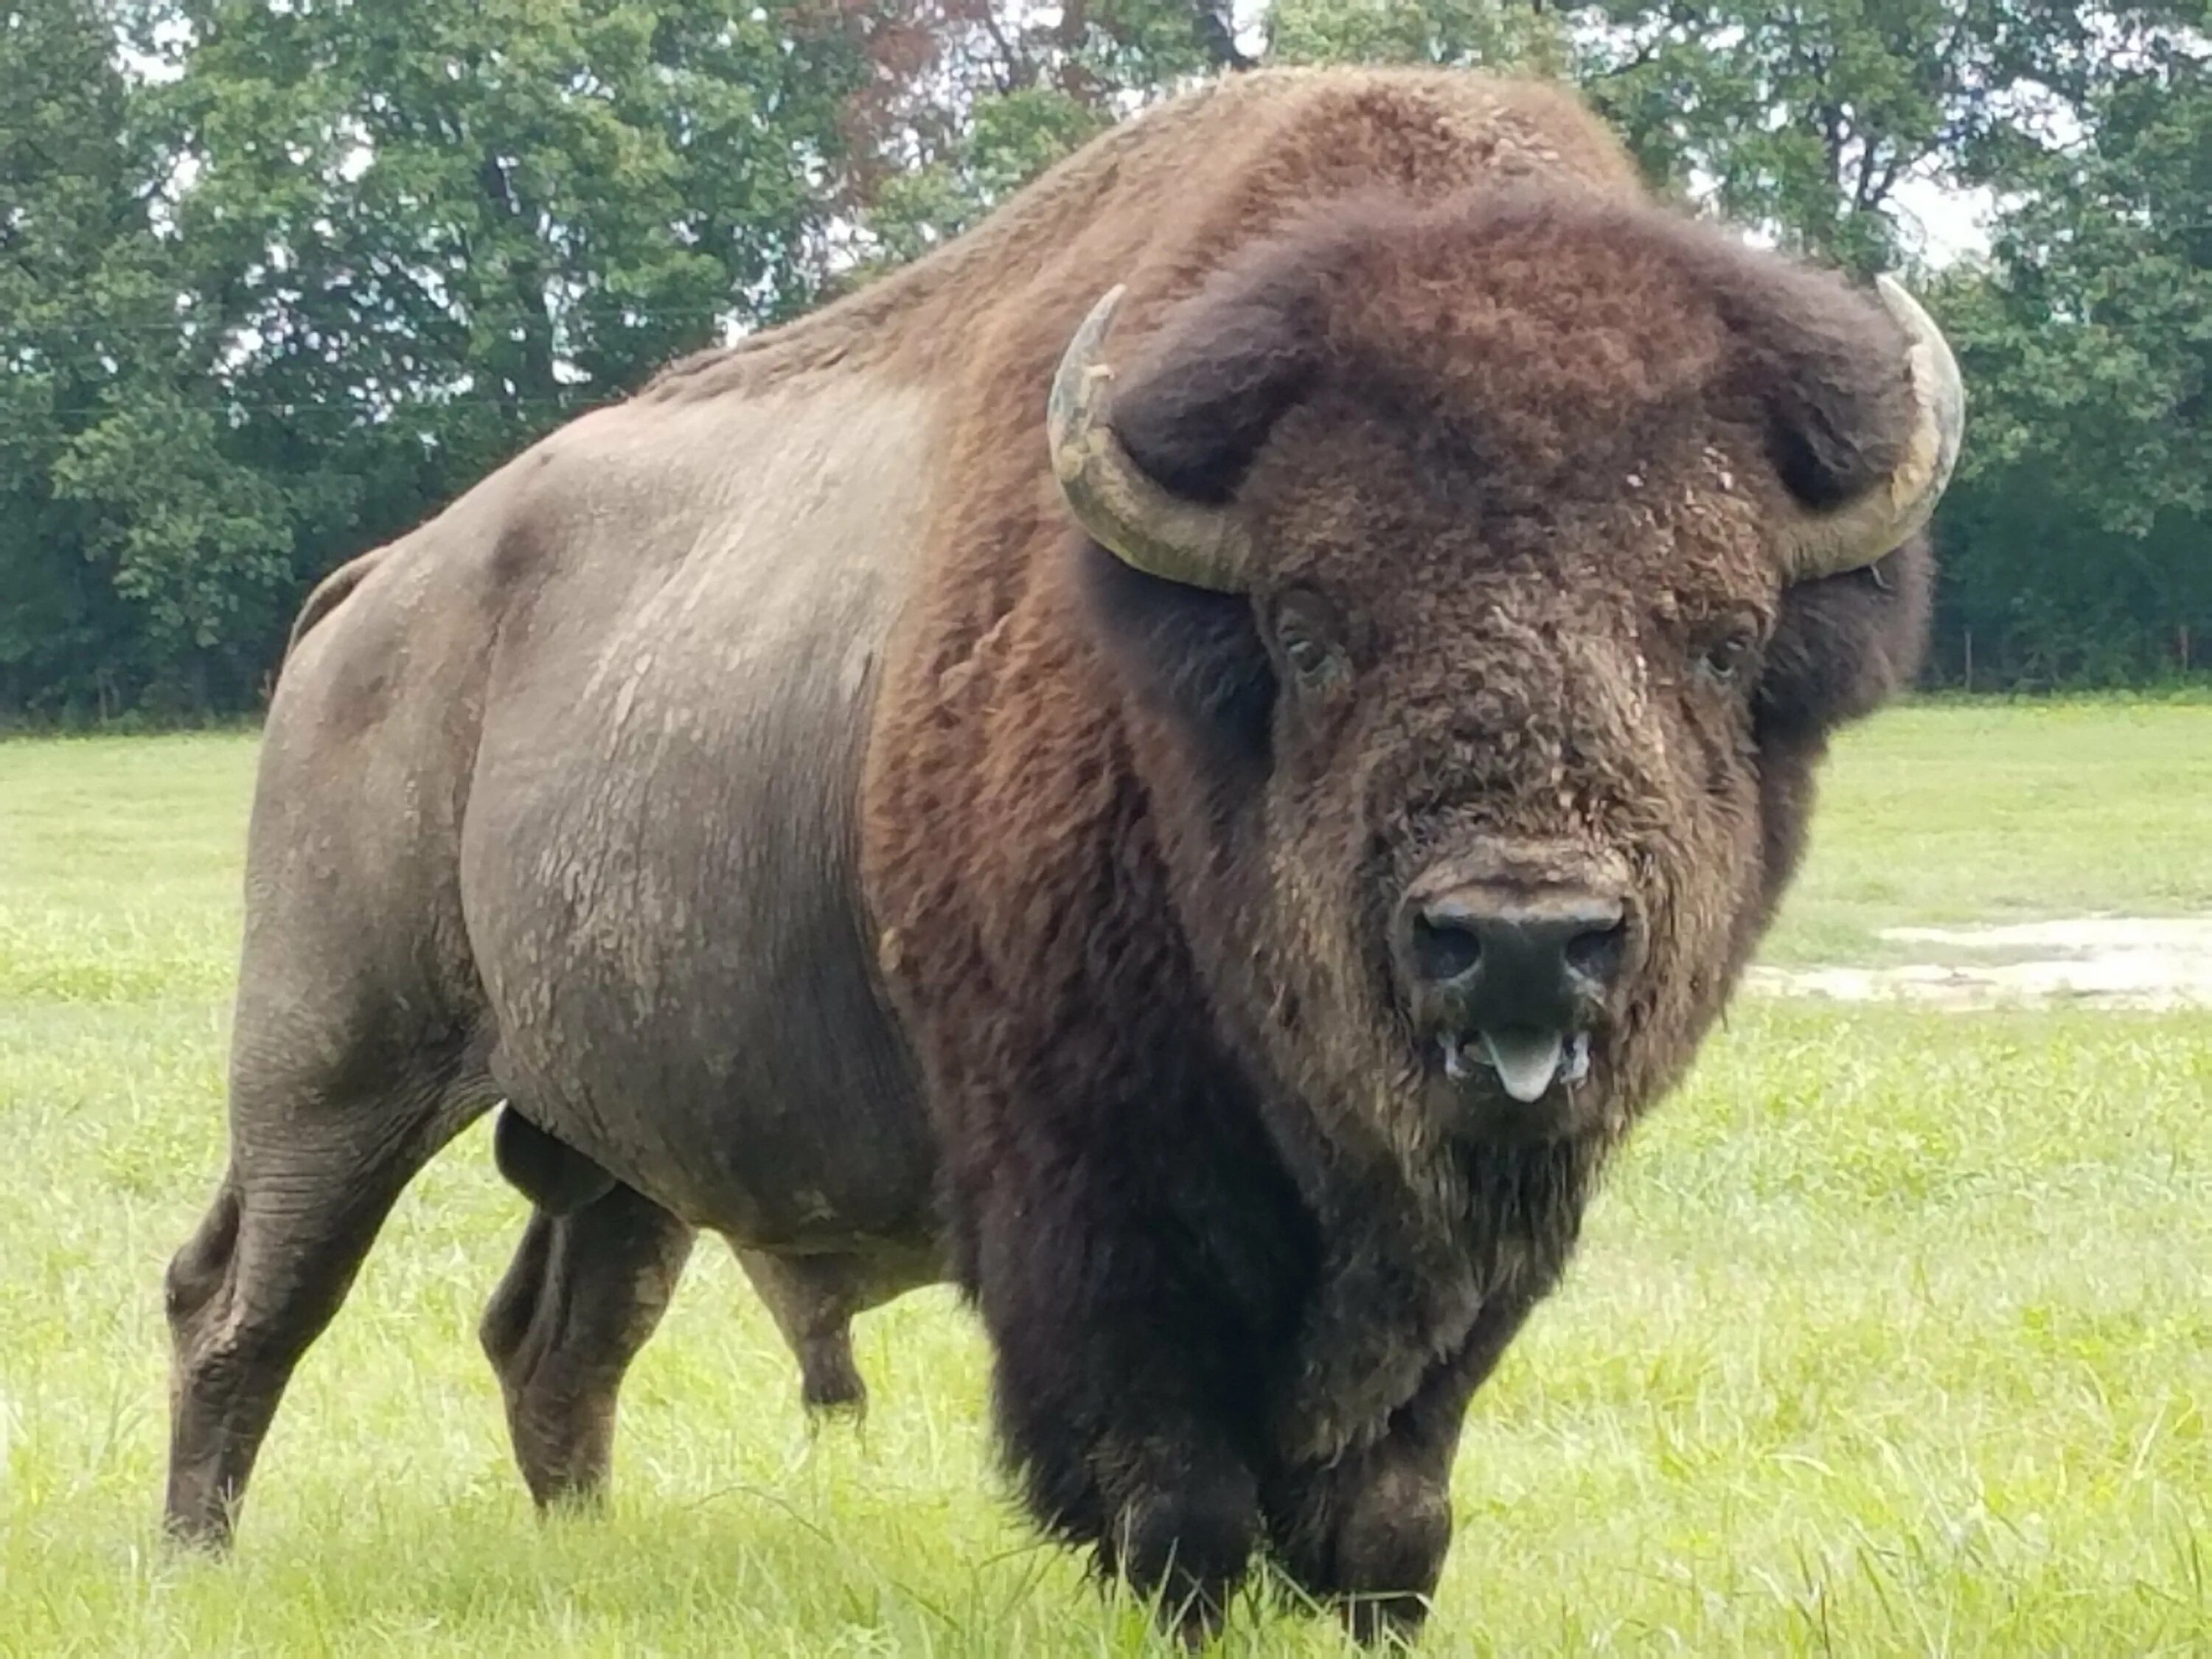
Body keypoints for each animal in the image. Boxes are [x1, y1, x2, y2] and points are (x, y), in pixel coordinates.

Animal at [173, 68, 1973, 1655]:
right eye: (1309, 629)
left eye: (1723, 641)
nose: (1524, 937)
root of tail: (377, 593)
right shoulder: (1096, 1210)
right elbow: (1177, 1504)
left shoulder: (1477, 1258)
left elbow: (1396, 1506)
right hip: (337, 1069)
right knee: (243, 1305)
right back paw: (196, 1564)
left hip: (616, 1135)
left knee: (559, 1337)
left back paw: (583, 1563)